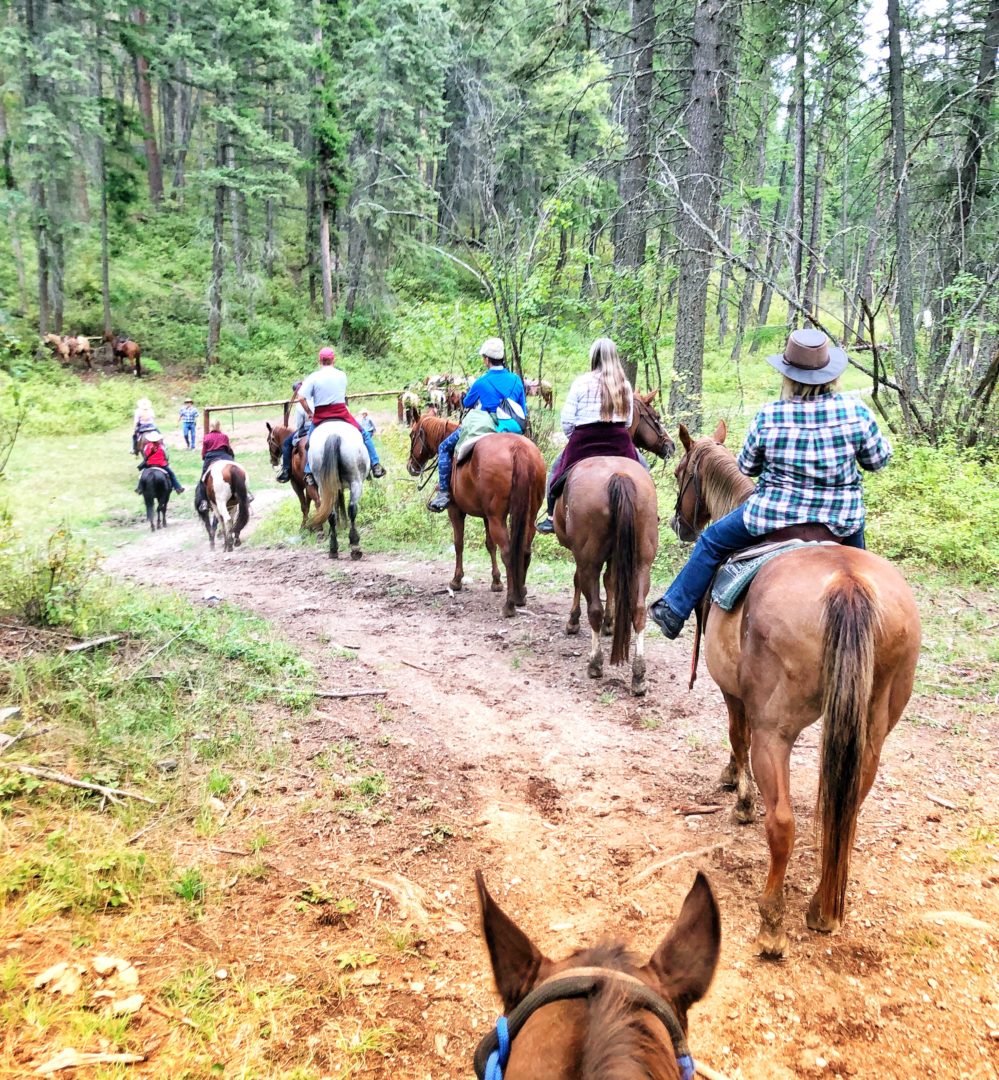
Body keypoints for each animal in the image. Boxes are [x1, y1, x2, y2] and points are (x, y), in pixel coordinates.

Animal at [306, 419, 369, 561]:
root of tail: (333, 435)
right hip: (356, 481)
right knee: (352, 508)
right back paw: (355, 546)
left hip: (324, 485)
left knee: (331, 514)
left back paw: (333, 548)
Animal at [406, 412, 546, 617]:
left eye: (412, 435)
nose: (411, 466)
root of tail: (519, 450)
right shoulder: (487, 516)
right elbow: (490, 545)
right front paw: (496, 582)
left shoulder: (455, 511)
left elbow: (459, 543)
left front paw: (456, 581)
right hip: (528, 516)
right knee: (525, 550)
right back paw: (520, 595)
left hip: (498, 518)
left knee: (508, 552)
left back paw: (510, 604)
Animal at [552, 393, 678, 695]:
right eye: (656, 417)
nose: (670, 445)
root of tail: (619, 476)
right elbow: (611, 581)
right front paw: (612, 623)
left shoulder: (580, 553)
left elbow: (580, 581)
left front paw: (573, 621)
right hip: (643, 560)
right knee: (639, 609)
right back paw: (639, 674)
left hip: (589, 556)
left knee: (593, 607)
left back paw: (595, 663)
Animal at [669, 419, 920, 954]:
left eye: (680, 473)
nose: (679, 524)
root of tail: (847, 585)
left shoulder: (732, 691)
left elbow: (735, 734)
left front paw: (738, 794)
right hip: (872, 729)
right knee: (846, 812)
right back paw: (822, 910)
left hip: (777, 731)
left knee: (781, 821)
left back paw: (772, 922)